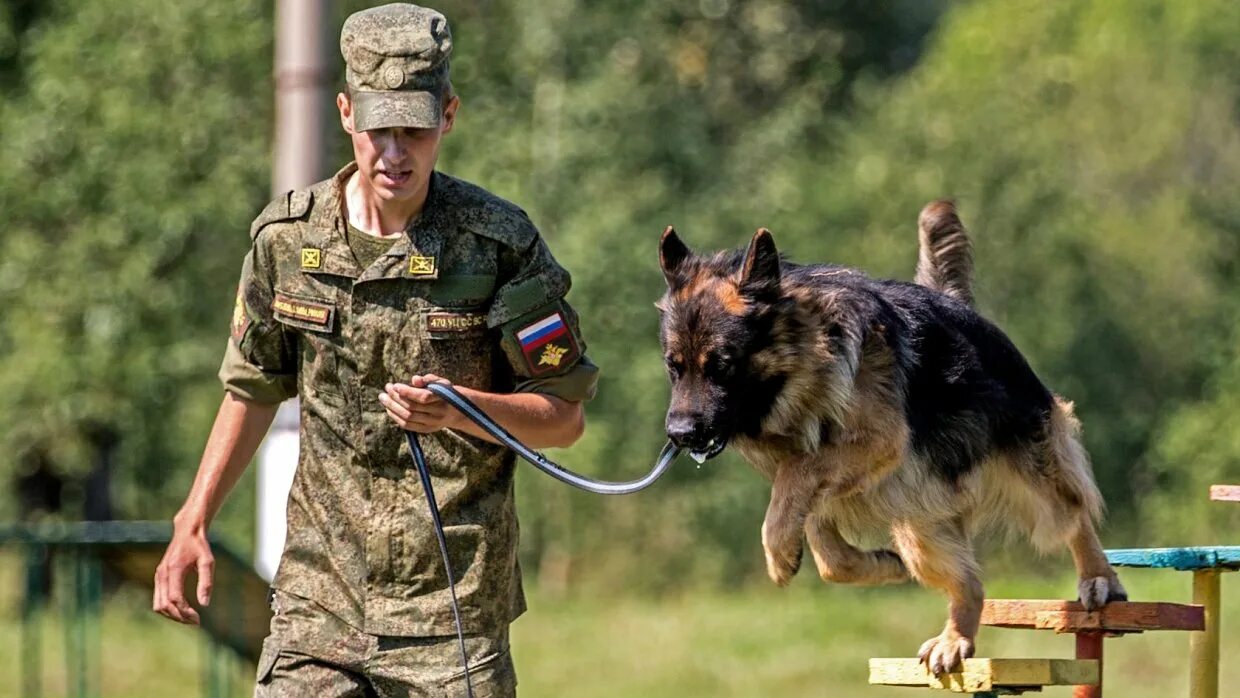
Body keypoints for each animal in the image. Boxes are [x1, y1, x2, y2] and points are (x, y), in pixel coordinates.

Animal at [664, 204, 1130, 674]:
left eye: (721, 366)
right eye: (673, 367)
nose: (679, 434)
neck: (806, 364)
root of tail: (957, 304)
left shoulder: (874, 443)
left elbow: (796, 481)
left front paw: (779, 555)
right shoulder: (821, 485)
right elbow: (825, 549)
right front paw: (876, 563)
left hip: (1028, 474)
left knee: (1072, 514)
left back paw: (1098, 578)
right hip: (920, 524)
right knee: (969, 582)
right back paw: (954, 638)